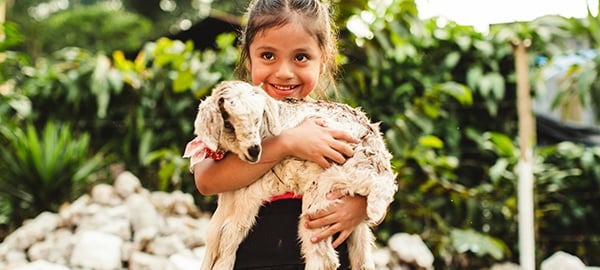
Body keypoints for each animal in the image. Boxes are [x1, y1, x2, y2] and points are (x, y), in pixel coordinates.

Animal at [185, 80, 396, 270]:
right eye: (228, 124)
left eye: (258, 119)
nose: (254, 151)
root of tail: (381, 176)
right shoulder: (231, 194)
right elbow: (214, 235)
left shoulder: (250, 192)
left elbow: (229, 235)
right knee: (362, 255)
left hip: (320, 194)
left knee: (323, 258)